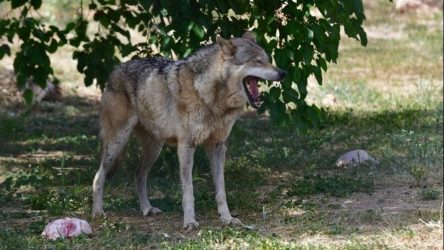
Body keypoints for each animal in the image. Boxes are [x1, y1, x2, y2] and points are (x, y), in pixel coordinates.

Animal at [92, 31, 286, 230]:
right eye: (257, 61)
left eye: (268, 60)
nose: (283, 73)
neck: (211, 98)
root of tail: (116, 69)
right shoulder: (186, 146)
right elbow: (188, 191)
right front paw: (190, 221)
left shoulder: (218, 146)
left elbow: (221, 190)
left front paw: (227, 218)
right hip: (117, 143)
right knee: (98, 177)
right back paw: (98, 212)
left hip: (154, 149)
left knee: (138, 174)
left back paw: (146, 208)